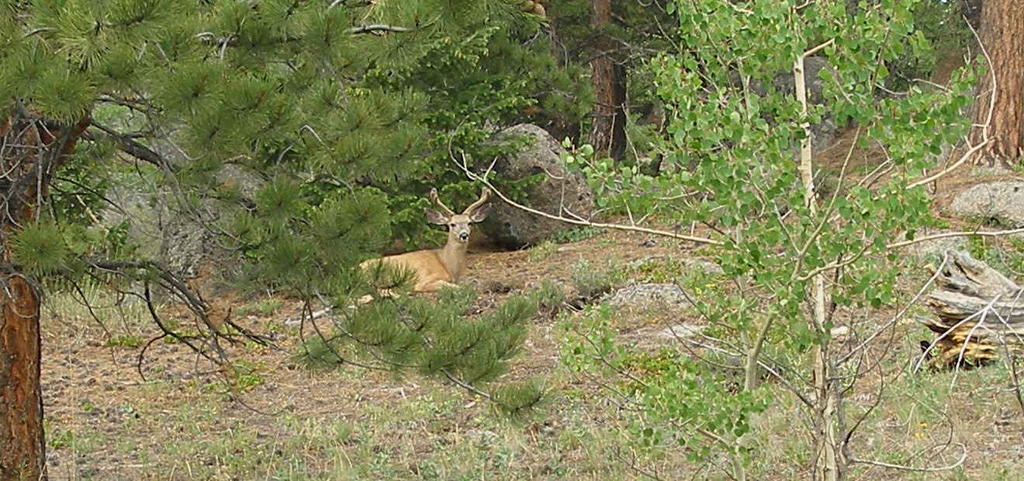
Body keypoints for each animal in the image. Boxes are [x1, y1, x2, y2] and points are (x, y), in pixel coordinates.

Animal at [358, 188, 491, 300]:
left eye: (470, 223)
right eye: (452, 224)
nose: (464, 235)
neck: (447, 264)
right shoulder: (424, 280)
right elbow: (457, 287)